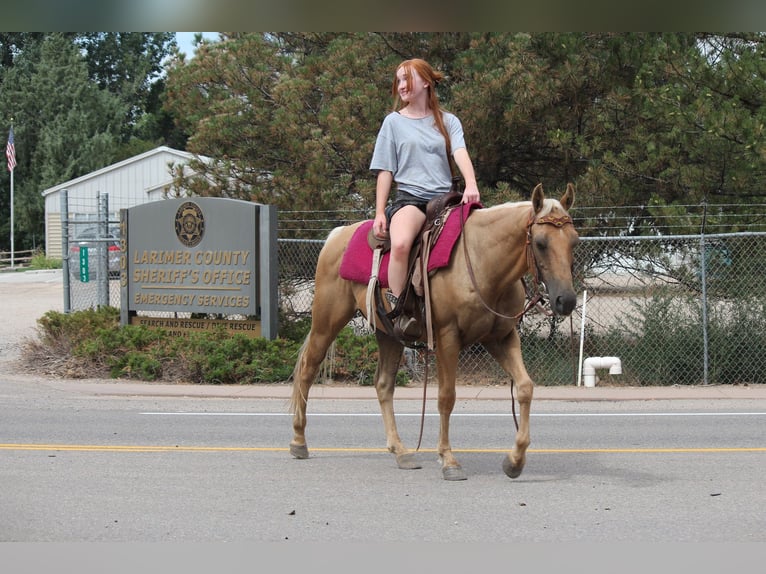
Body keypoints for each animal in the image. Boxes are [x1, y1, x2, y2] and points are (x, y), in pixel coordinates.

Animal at [289, 183, 579, 480]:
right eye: (541, 243)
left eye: (574, 241)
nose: (566, 300)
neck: (482, 261)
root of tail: (337, 235)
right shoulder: (447, 337)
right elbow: (446, 397)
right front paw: (449, 460)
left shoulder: (501, 338)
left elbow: (525, 388)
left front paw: (515, 460)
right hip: (326, 321)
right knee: (307, 370)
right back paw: (299, 441)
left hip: (389, 334)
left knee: (383, 385)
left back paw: (401, 452)